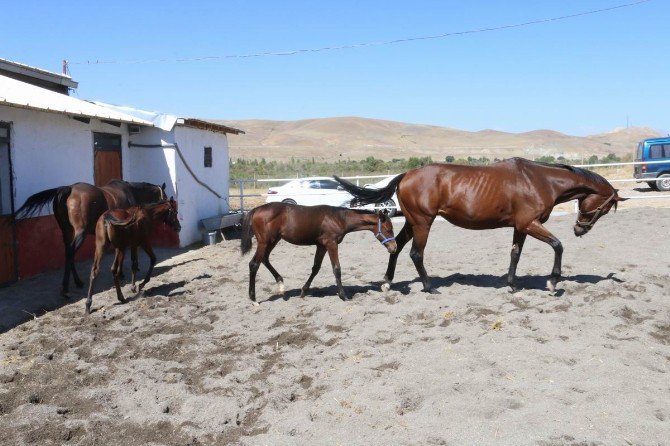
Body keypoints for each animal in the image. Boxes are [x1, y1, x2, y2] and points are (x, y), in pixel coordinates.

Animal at [14, 178, 167, 296]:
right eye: (165, 198)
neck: (130, 192)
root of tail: (69, 189)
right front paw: (122, 273)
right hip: (80, 232)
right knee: (71, 252)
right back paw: (65, 288)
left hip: (66, 231)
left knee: (68, 252)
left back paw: (77, 282)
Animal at [243, 203, 396, 304]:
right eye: (388, 229)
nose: (394, 248)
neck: (339, 218)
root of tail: (256, 209)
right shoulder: (331, 243)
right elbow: (337, 269)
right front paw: (343, 295)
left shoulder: (321, 245)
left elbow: (315, 268)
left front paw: (303, 291)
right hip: (264, 242)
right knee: (254, 264)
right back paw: (253, 299)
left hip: (273, 240)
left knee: (264, 259)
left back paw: (280, 284)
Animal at [336, 157, 632, 292]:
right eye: (605, 208)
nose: (580, 229)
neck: (540, 180)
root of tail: (406, 174)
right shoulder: (530, 223)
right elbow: (558, 246)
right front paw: (552, 282)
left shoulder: (520, 227)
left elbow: (515, 254)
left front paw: (512, 285)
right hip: (423, 222)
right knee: (416, 253)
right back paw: (429, 287)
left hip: (412, 221)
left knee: (396, 248)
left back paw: (387, 283)